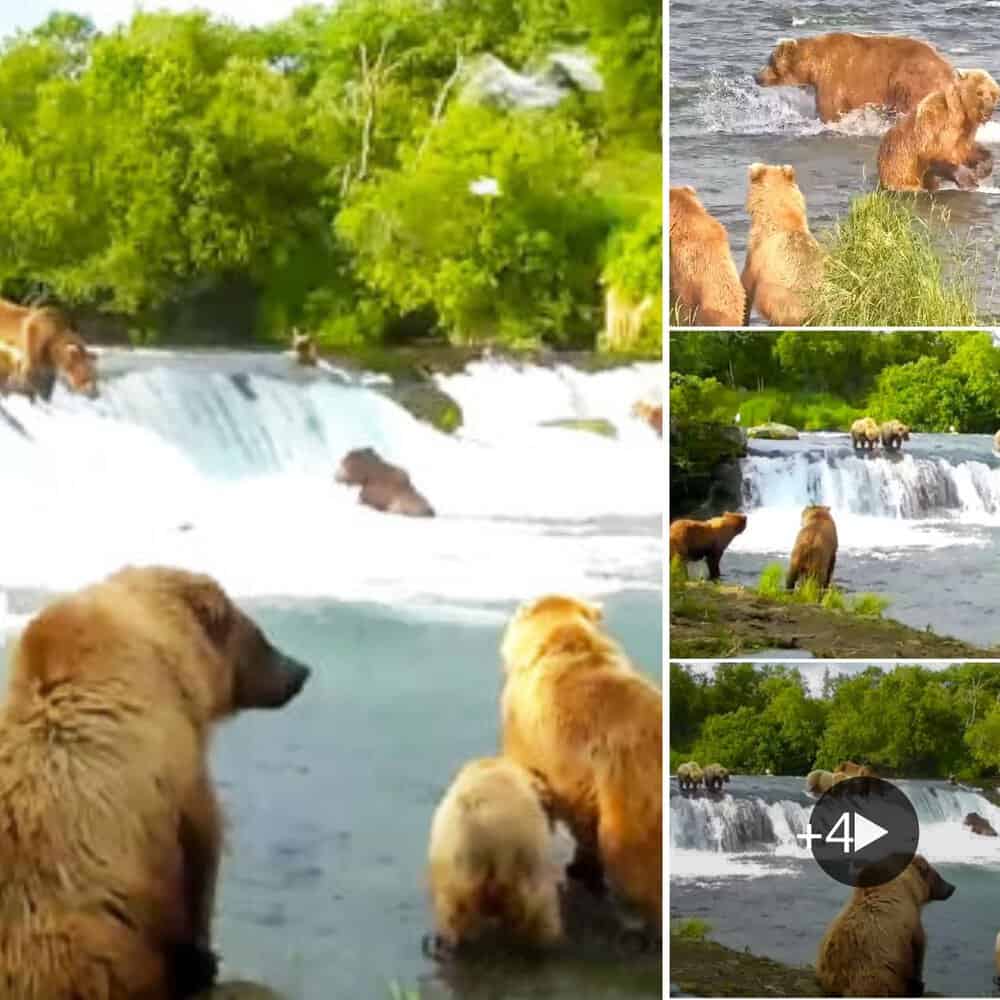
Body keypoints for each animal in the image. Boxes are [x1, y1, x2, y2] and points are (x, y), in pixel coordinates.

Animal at [754, 33, 955, 124]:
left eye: (770, 61)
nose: (756, 76)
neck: (814, 67)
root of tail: (949, 69)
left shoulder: (833, 78)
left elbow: (829, 109)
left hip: (911, 79)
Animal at [816, 854, 955, 997]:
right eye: (939, 876)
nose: (952, 887)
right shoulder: (909, 922)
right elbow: (918, 949)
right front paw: (919, 985)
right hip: (876, 975)